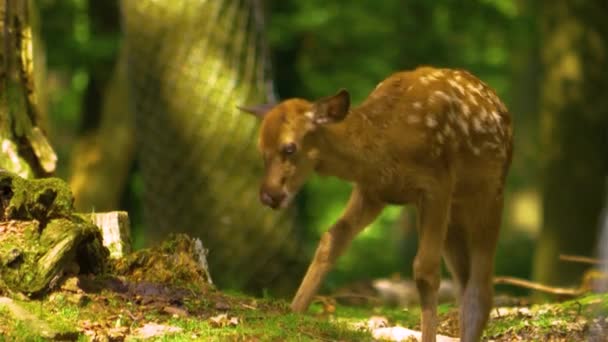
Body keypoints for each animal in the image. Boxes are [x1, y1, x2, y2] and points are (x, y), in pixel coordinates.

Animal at [238, 67, 512, 342]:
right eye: (261, 149)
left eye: (289, 148)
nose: (269, 195)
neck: (383, 144)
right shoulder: (372, 191)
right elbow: (331, 239)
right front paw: (293, 314)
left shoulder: (438, 184)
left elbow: (425, 270)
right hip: (454, 213)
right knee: (464, 281)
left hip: (489, 192)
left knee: (480, 286)